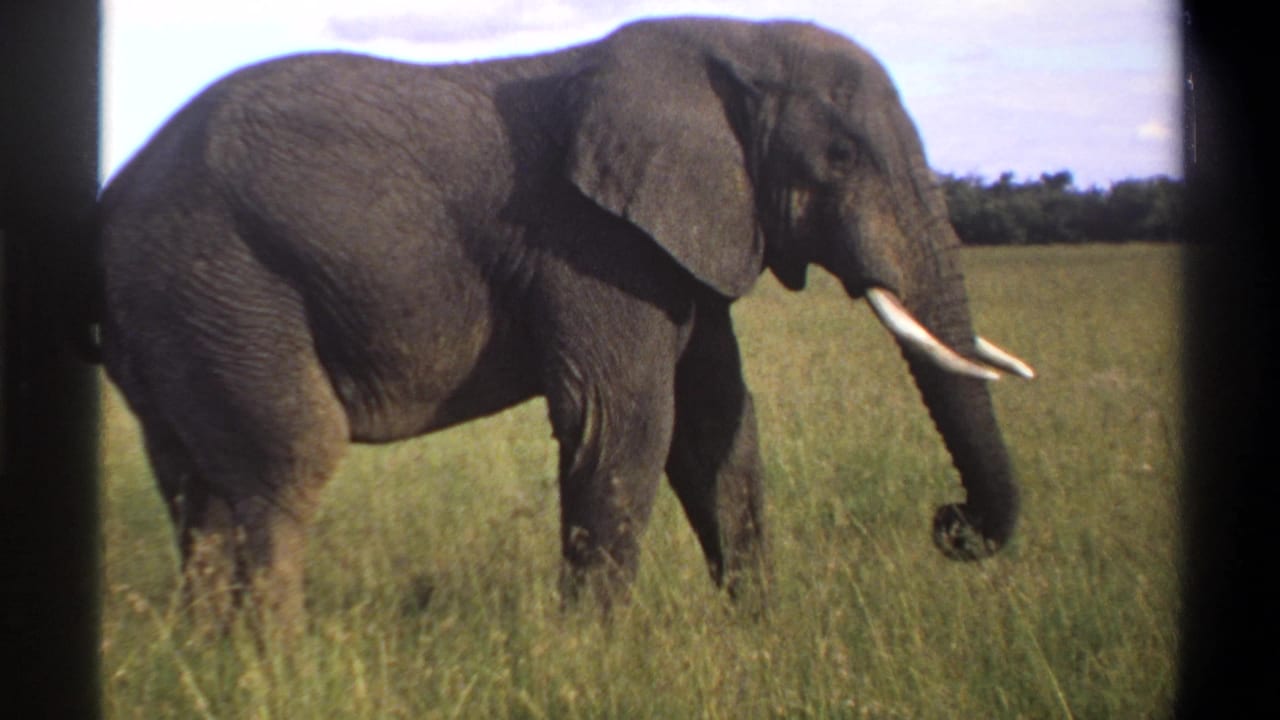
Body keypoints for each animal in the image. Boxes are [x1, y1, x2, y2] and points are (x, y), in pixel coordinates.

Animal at [91, 17, 1034, 630]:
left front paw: (763, 635)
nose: (950, 523)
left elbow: (718, 427)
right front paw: (593, 657)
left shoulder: (672, 244)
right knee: (286, 463)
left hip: (178, 313)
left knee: (195, 488)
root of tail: (113, 198)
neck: (730, 39)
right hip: (221, 278)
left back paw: (213, 659)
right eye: (840, 157)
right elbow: (626, 423)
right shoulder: (591, 243)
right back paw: (281, 667)